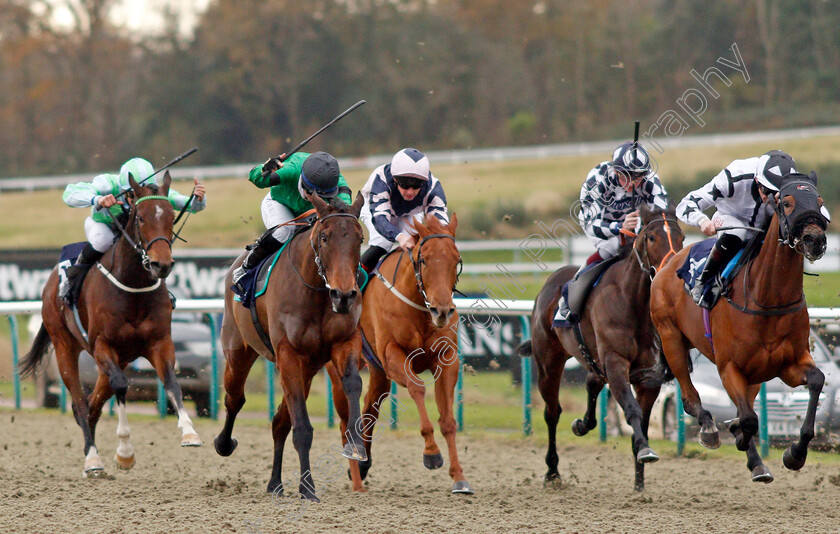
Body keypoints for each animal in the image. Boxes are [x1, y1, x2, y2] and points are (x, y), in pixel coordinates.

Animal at [18, 174, 203, 480]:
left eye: (171, 216)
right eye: (140, 217)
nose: (161, 264)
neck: (133, 286)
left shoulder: (159, 342)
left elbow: (172, 382)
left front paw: (189, 432)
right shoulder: (103, 345)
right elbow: (121, 386)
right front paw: (125, 453)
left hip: (119, 358)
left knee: (93, 404)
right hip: (65, 346)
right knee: (81, 402)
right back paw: (92, 459)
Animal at [215, 193, 366, 502]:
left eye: (359, 238)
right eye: (324, 238)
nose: (344, 296)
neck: (317, 291)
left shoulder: (344, 342)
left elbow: (353, 384)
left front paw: (356, 446)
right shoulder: (288, 354)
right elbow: (303, 429)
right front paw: (308, 488)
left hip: (306, 369)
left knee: (279, 422)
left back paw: (275, 483)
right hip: (239, 351)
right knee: (234, 398)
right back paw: (224, 443)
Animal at [328, 214, 472, 494]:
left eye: (457, 259)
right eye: (424, 258)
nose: (442, 311)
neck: (419, 308)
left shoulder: (446, 360)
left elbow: (448, 420)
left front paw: (459, 477)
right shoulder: (392, 354)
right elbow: (417, 388)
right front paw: (431, 453)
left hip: (377, 372)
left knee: (370, 408)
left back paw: (363, 463)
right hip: (339, 369)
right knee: (344, 422)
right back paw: (357, 478)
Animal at [520, 204, 684, 494]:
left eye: (682, 237)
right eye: (652, 237)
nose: (672, 270)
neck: (633, 302)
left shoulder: (649, 376)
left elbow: (641, 422)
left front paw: (639, 486)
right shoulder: (616, 362)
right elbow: (630, 409)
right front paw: (645, 451)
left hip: (592, 359)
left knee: (592, 381)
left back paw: (582, 425)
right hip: (548, 362)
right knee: (552, 413)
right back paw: (552, 472)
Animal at [648, 174, 828, 484]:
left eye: (818, 201)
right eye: (787, 202)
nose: (814, 239)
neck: (767, 298)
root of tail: (668, 261)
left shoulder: (789, 364)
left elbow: (816, 381)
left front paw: (795, 454)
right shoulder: (729, 367)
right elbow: (748, 419)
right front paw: (739, 435)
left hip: (755, 374)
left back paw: (755, 461)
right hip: (671, 338)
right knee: (689, 397)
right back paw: (710, 429)